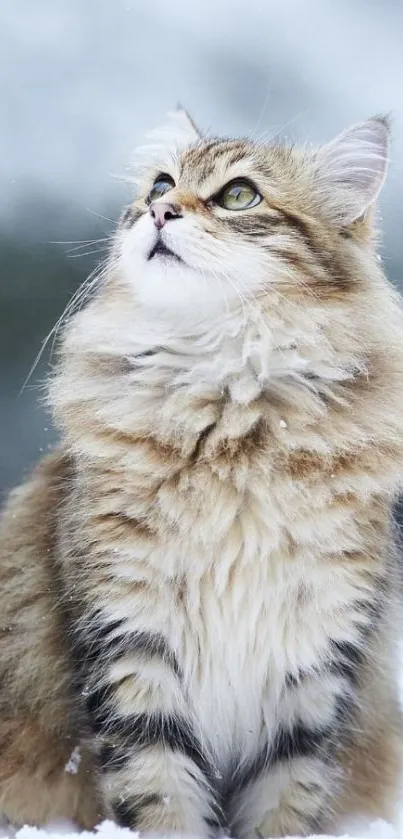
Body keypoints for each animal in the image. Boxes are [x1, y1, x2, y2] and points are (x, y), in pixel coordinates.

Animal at [0, 110, 403, 832]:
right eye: (162, 183)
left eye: (239, 195)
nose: (160, 210)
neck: (231, 419)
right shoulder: (129, 639)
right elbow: (160, 795)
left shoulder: (316, 662)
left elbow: (286, 803)